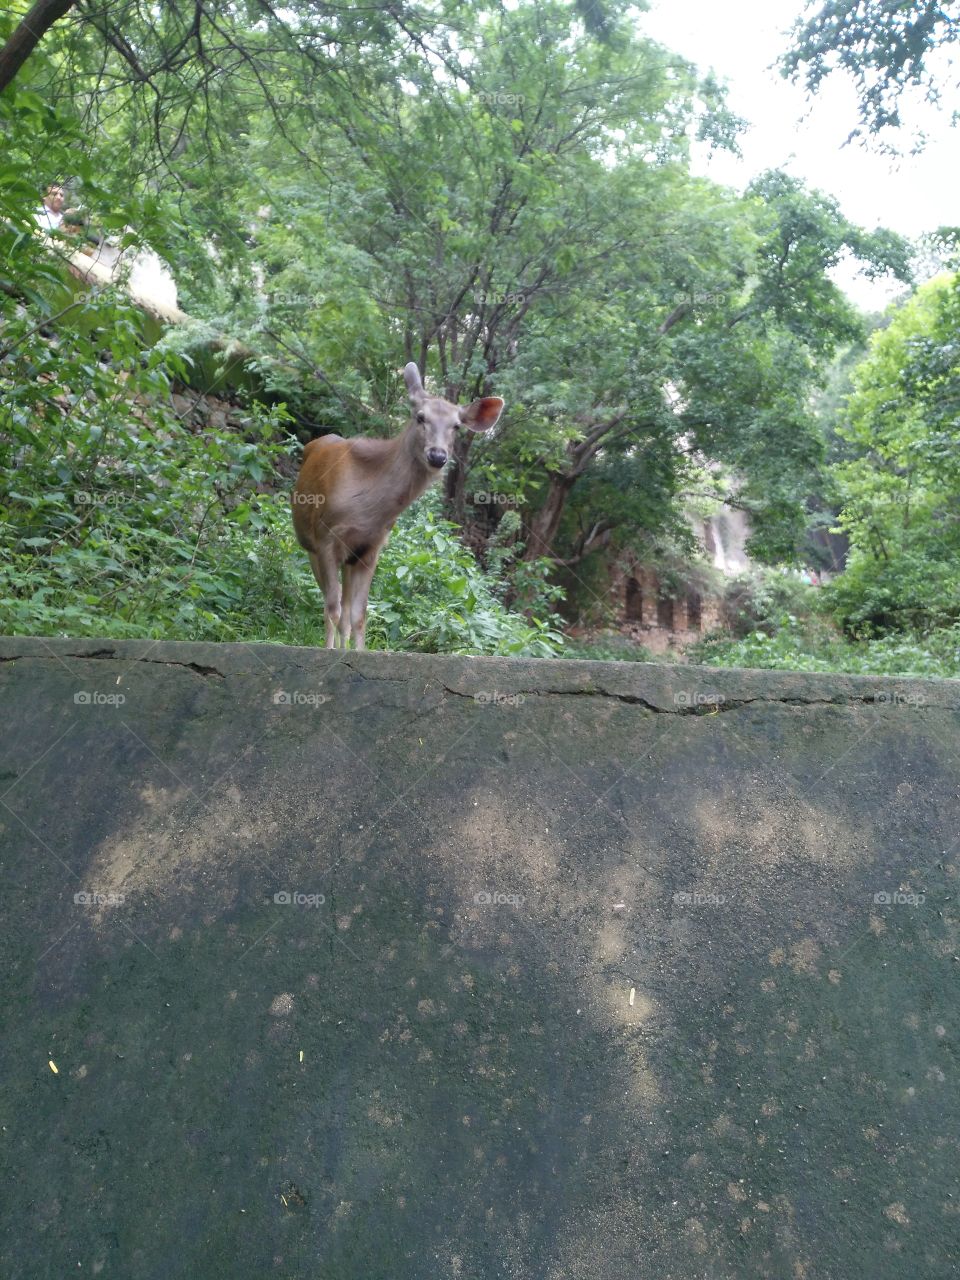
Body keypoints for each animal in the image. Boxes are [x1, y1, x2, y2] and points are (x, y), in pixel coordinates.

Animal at [291, 362, 505, 649]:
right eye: (421, 417)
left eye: (457, 426)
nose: (437, 455)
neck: (367, 511)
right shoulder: (326, 537)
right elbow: (331, 609)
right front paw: (328, 651)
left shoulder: (370, 548)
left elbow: (359, 615)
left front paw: (357, 652)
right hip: (309, 544)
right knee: (331, 603)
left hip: (348, 559)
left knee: (346, 612)